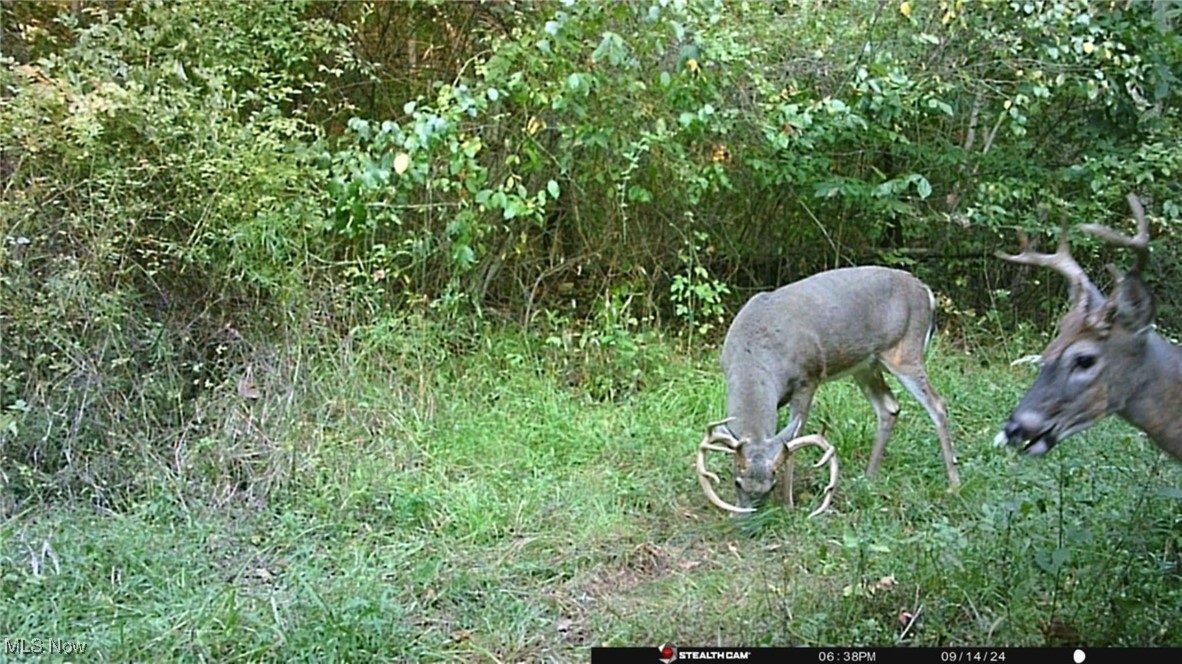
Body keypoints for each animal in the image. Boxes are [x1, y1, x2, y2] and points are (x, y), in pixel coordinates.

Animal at [699, 265, 959, 515]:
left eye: (771, 485)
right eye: (737, 482)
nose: (748, 519)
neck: (754, 352)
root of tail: (927, 292)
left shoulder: (808, 378)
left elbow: (794, 443)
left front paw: (788, 503)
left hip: (904, 351)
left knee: (938, 405)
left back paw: (954, 483)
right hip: (866, 366)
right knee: (890, 406)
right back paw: (868, 478)